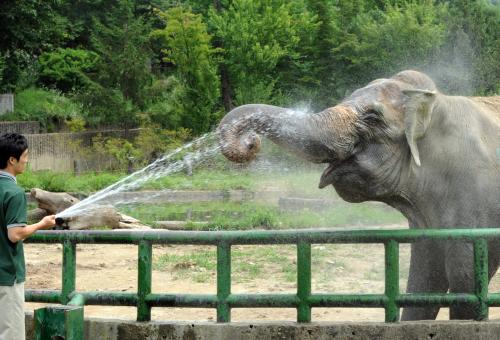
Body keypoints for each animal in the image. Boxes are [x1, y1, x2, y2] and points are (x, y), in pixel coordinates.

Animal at [218, 70, 500, 320]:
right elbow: (424, 280)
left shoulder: (475, 197)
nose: (250, 142)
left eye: (373, 117)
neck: (435, 105)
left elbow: (465, 280)